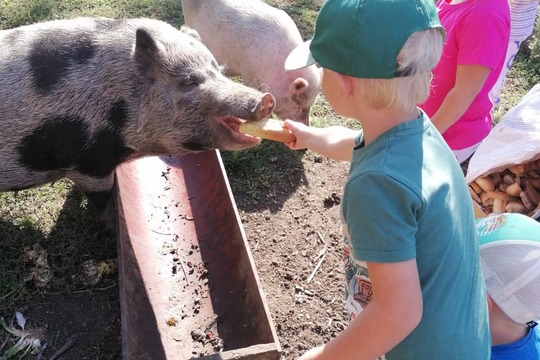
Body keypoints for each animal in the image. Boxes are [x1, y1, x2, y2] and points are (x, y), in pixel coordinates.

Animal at [1, 17, 274, 228]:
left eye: (217, 69)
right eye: (188, 81)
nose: (265, 99)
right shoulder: (88, 163)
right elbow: (103, 198)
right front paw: (114, 227)